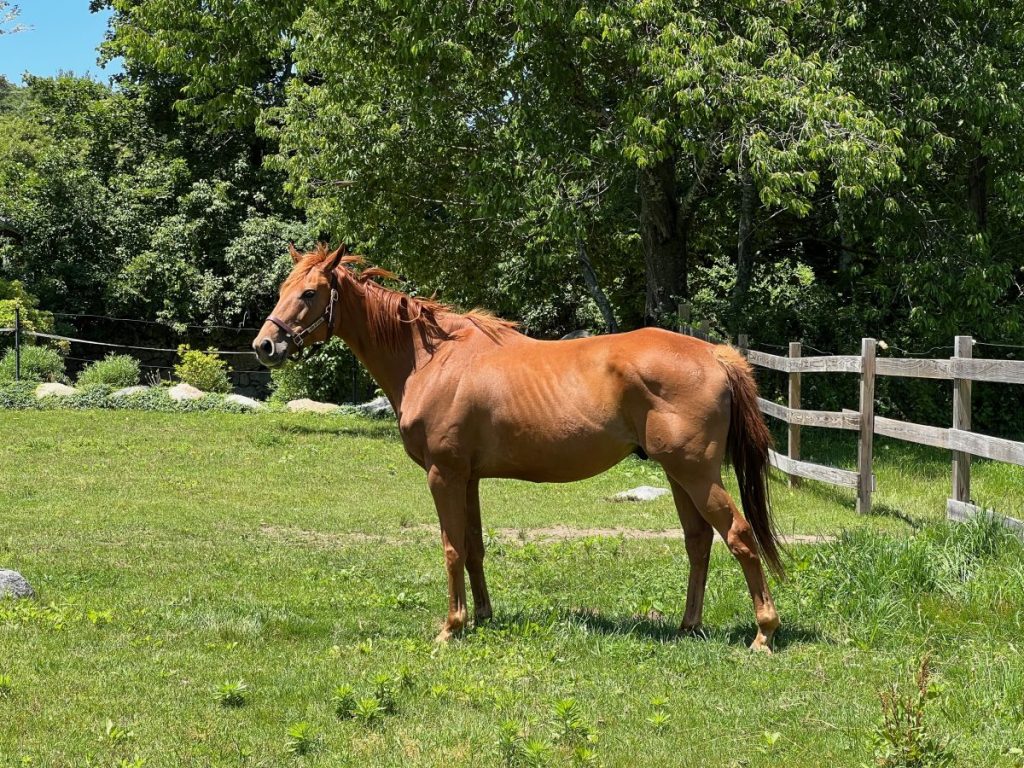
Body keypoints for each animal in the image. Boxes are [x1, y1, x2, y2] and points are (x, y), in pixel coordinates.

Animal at [253, 245, 784, 651]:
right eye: (281, 289)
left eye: (309, 293)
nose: (264, 346)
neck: (431, 359)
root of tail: (715, 353)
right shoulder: (466, 477)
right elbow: (473, 547)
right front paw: (482, 615)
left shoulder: (443, 474)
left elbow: (450, 547)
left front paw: (451, 627)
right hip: (679, 476)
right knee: (699, 542)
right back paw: (688, 625)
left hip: (696, 474)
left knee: (739, 536)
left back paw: (764, 633)